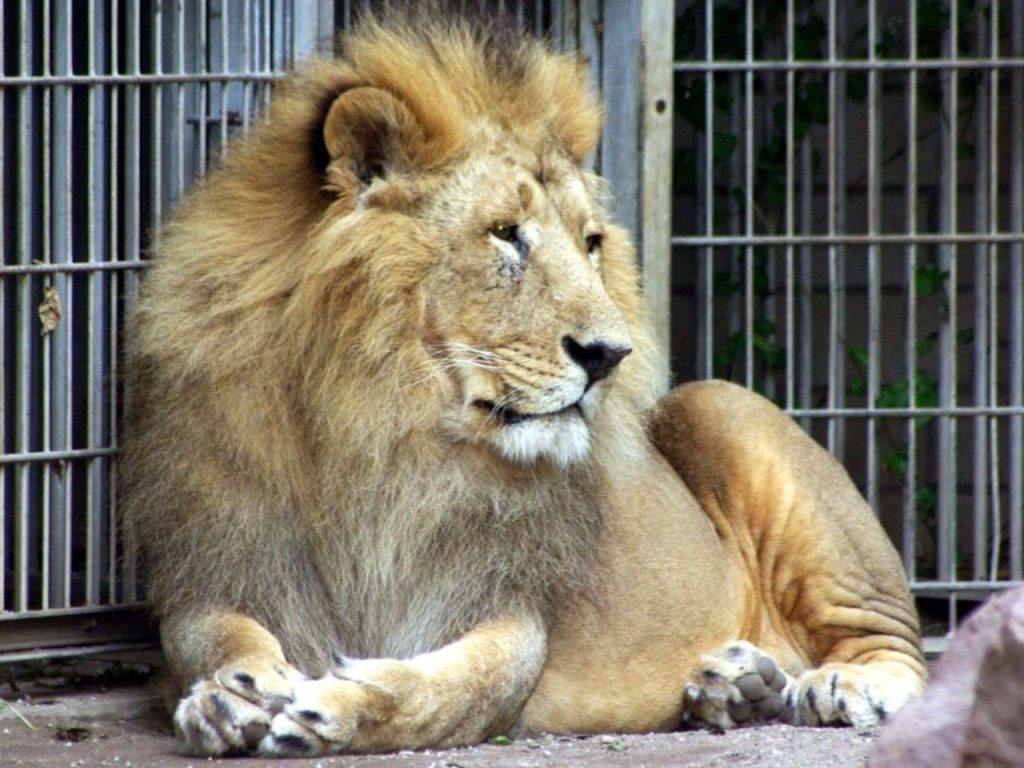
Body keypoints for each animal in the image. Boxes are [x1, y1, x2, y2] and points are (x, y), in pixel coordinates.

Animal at [121, 13, 926, 757]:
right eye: (506, 233)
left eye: (591, 242)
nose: (609, 355)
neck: (378, 424)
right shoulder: (222, 559)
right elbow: (213, 637)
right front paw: (230, 696)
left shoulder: (510, 603)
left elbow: (463, 687)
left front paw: (338, 706)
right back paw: (736, 684)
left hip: (718, 406)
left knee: (897, 645)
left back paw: (838, 684)